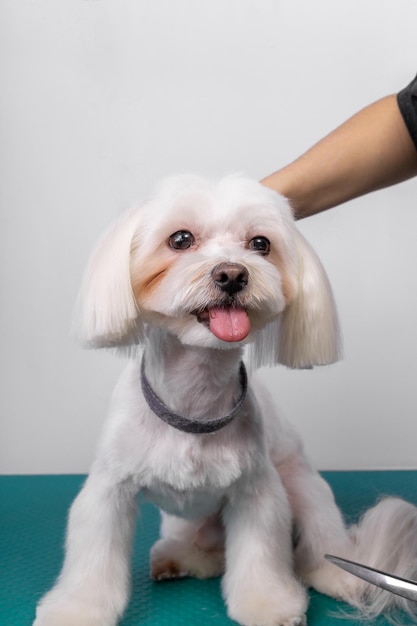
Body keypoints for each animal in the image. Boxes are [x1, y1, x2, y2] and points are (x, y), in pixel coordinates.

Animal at [34, 176, 416, 624]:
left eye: (260, 244)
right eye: (180, 239)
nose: (232, 274)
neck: (194, 398)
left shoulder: (257, 491)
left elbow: (260, 555)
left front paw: (268, 603)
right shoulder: (108, 491)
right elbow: (94, 560)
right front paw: (76, 610)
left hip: (304, 488)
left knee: (321, 541)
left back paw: (340, 576)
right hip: (182, 521)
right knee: (203, 551)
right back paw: (179, 558)